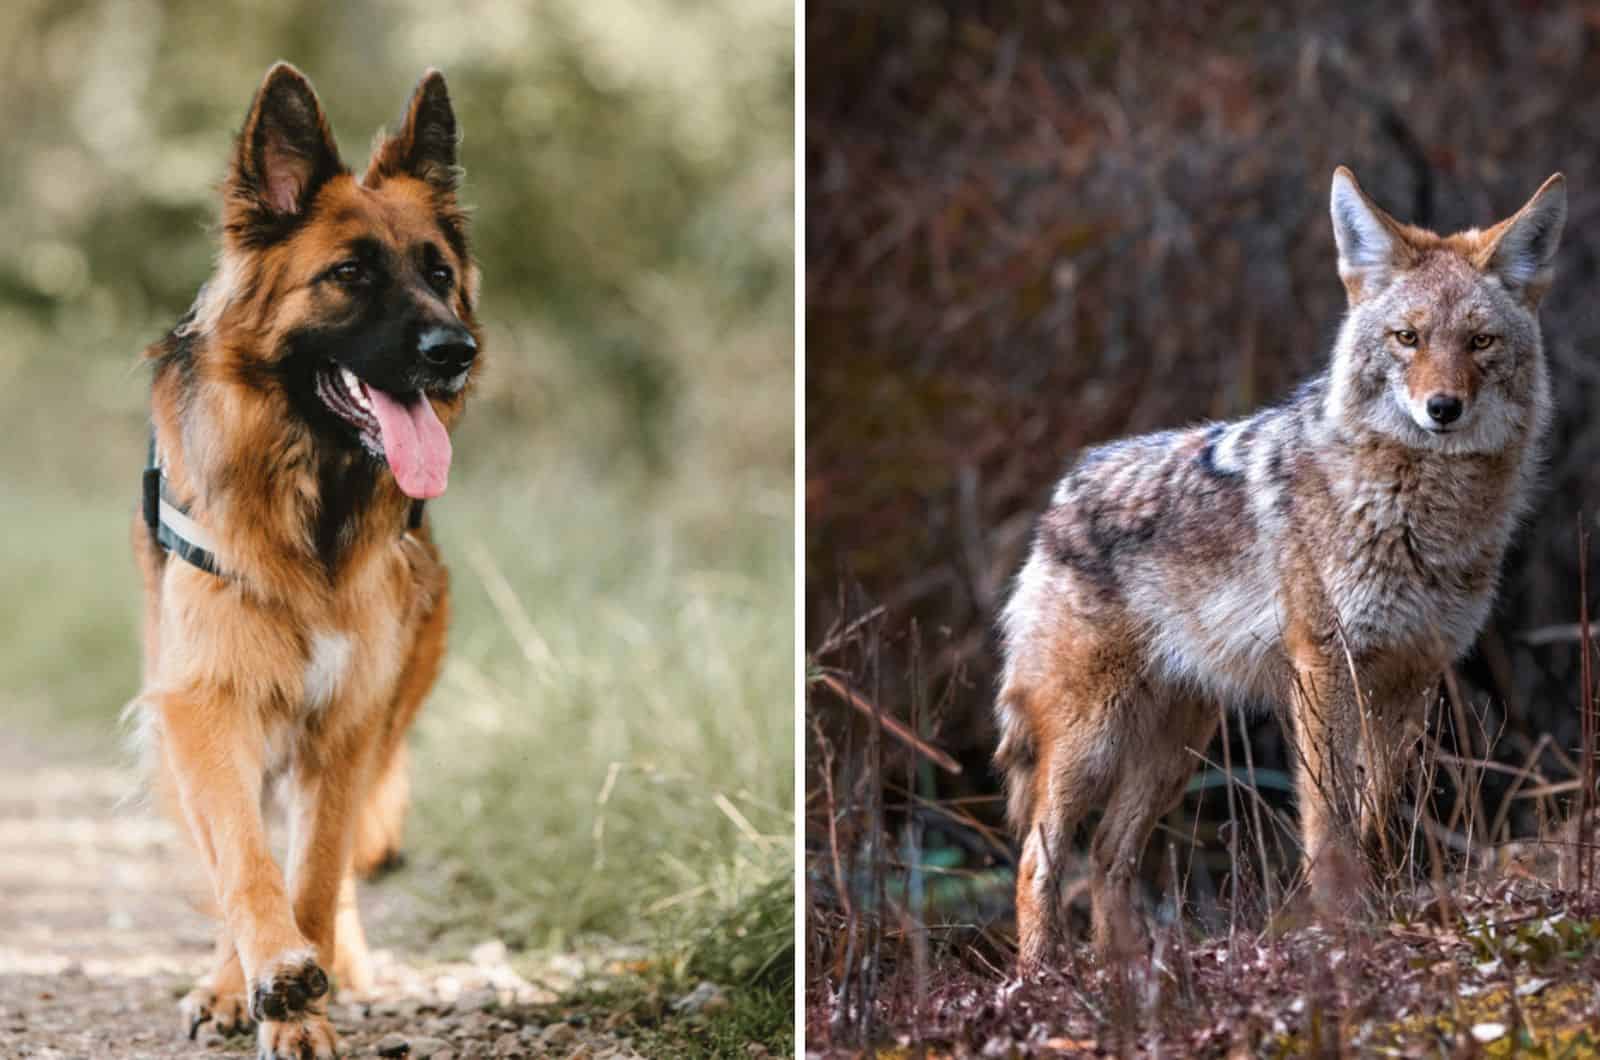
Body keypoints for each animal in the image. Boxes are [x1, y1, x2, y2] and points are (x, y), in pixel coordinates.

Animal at [130, 62, 476, 1056]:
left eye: (439, 274)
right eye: (349, 274)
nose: (456, 351)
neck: (311, 505)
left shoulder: (347, 723)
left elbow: (315, 875)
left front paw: (309, 1003)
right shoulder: (203, 702)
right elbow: (244, 863)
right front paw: (269, 981)